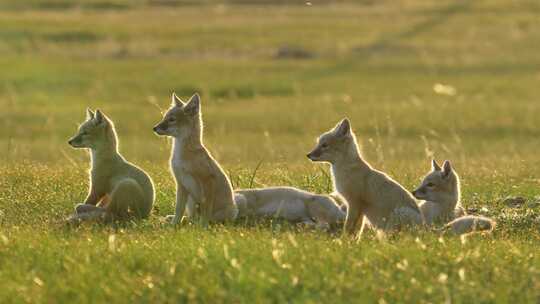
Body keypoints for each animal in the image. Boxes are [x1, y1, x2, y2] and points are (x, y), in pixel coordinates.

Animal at [152, 92, 236, 223]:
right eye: (164, 118)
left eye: (172, 120)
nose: (154, 128)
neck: (182, 156)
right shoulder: (181, 183)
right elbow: (178, 210)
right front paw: (174, 224)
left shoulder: (208, 180)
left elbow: (206, 209)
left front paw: (203, 225)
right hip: (191, 202)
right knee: (191, 218)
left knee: (208, 218)